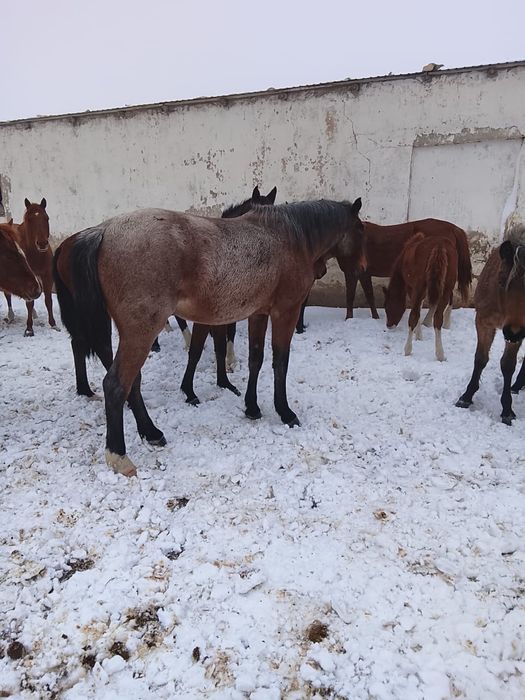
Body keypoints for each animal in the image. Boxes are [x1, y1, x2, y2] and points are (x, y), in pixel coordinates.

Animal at [2, 199, 57, 336]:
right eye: (29, 220)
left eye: (46, 218)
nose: (42, 243)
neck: (36, 254)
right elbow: (29, 303)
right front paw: (29, 328)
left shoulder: (47, 276)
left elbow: (48, 300)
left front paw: (53, 324)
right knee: (8, 295)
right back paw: (11, 315)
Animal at [56, 197, 364, 476]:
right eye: (361, 230)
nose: (362, 269)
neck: (289, 237)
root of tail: (103, 231)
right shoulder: (284, 313)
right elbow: (280, 362)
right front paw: (285, 411)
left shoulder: (258, 314)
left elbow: (255, 359)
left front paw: (252, 407)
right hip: (140, 333)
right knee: (116, 384)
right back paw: (119, 455)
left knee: (133, 382)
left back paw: (151, 432)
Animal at [295, 218, 472, 331]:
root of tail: (453, 229)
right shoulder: (363, 273)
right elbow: (369, 296)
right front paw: (375, 317)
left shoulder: (354, 272)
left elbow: (352, 296)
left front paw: (349, 318)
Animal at [456, 221, 525, 424]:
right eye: (501, 282)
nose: (512, 332)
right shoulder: (483, 321)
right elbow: (480, 359)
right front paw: (466, 397)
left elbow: (508, 365)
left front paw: (507, 409)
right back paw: (517, 386)